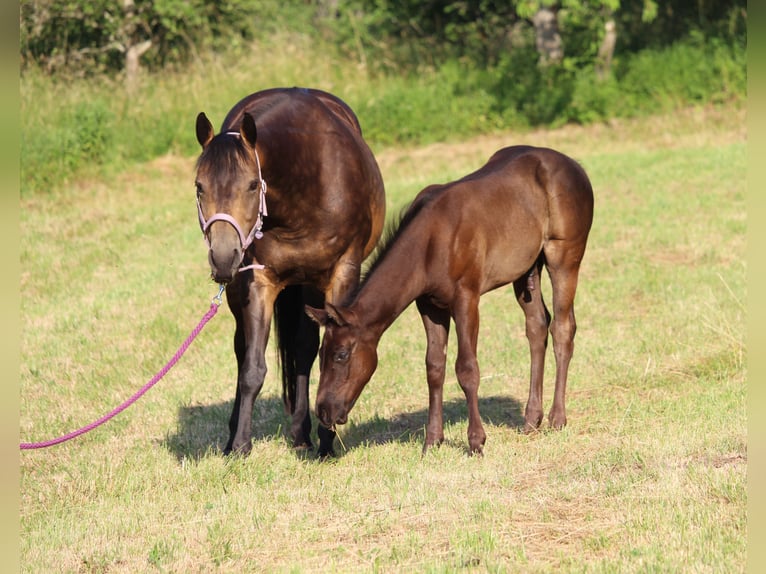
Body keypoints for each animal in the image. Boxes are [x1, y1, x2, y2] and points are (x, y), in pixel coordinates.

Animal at [194, 88, 385, 457]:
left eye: (252, 185)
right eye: (199, 186)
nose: (223, 257)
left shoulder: (342, 274)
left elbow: (326, 350)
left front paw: (325, 441)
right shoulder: (258, 281)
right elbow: (252, 368)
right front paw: (240, 445)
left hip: (310, 284)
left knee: (304, 349)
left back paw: (302, 433)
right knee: (243, 349)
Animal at [306, 145, 593, 455]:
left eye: (341, 355)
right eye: (320, 354)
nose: (323, 410)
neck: (430, 243)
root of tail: (575, 166)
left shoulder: (466, 299)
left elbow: (466, 368)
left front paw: (476, 441)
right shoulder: (430, 306)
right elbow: (434, 367)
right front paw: (432, 440)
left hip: (564, 257)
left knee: (562, 327)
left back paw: (557, 418)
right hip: (527, 269)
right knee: (537, 326)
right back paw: (531, 420)